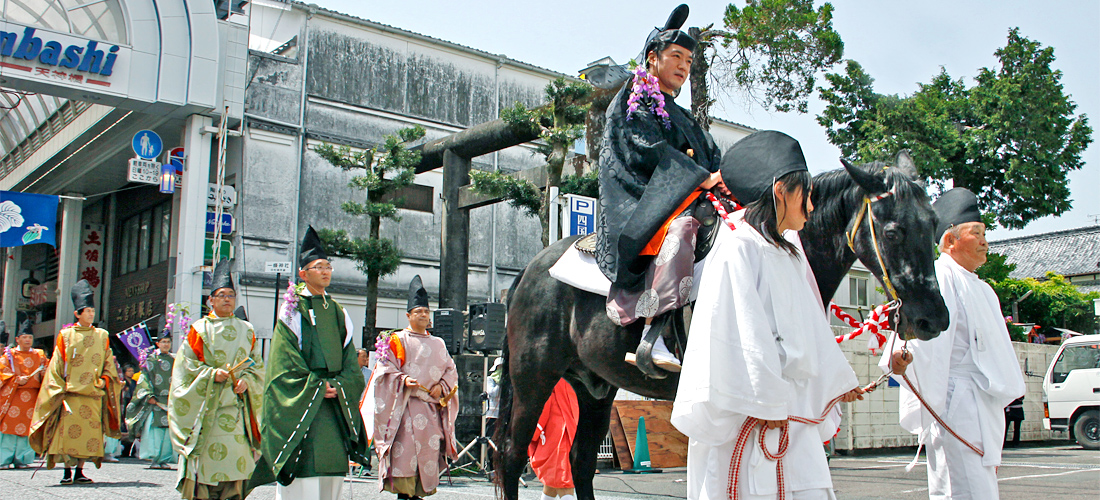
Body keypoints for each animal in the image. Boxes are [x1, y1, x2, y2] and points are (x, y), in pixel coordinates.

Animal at [495, 152, 950, 500]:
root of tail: (531, 270)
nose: (933, 319)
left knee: (582, 460)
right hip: (533, 375)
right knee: (513, 454)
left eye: (933, 226)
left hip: (595, 388)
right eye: (893, 231)